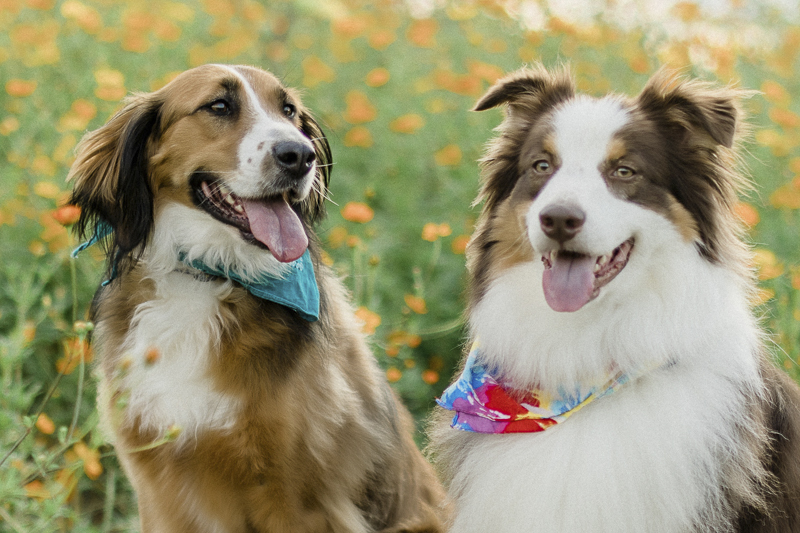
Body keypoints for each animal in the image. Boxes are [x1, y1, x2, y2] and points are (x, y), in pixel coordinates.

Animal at [69, 64, 450, 528]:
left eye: (289, 111)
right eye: (218, 106)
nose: (301, 155)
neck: (206, 276)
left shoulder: (299, 501)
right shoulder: (160, 492)